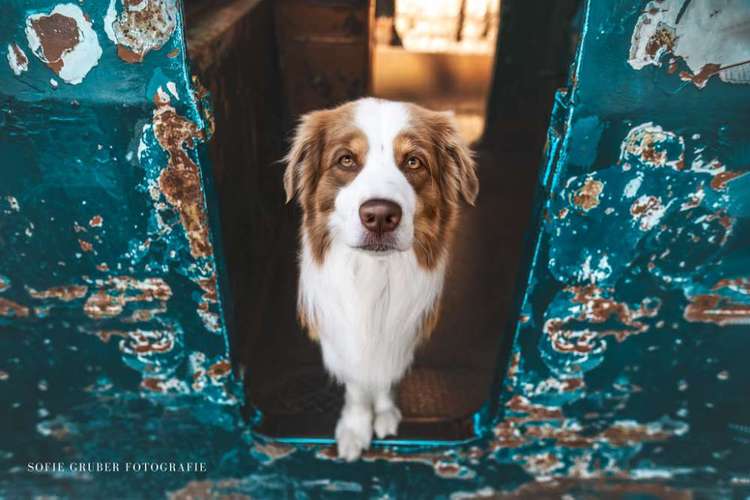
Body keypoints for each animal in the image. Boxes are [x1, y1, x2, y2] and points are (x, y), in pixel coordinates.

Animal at [284, 97, 478, 460]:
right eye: (346, 159)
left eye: (413, 161)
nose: (379, 216)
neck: (375, 275)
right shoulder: (341, 335)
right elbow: (358, 385)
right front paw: (356, 427)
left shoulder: (405, 330)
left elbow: (387, 373)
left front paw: (385, 411)